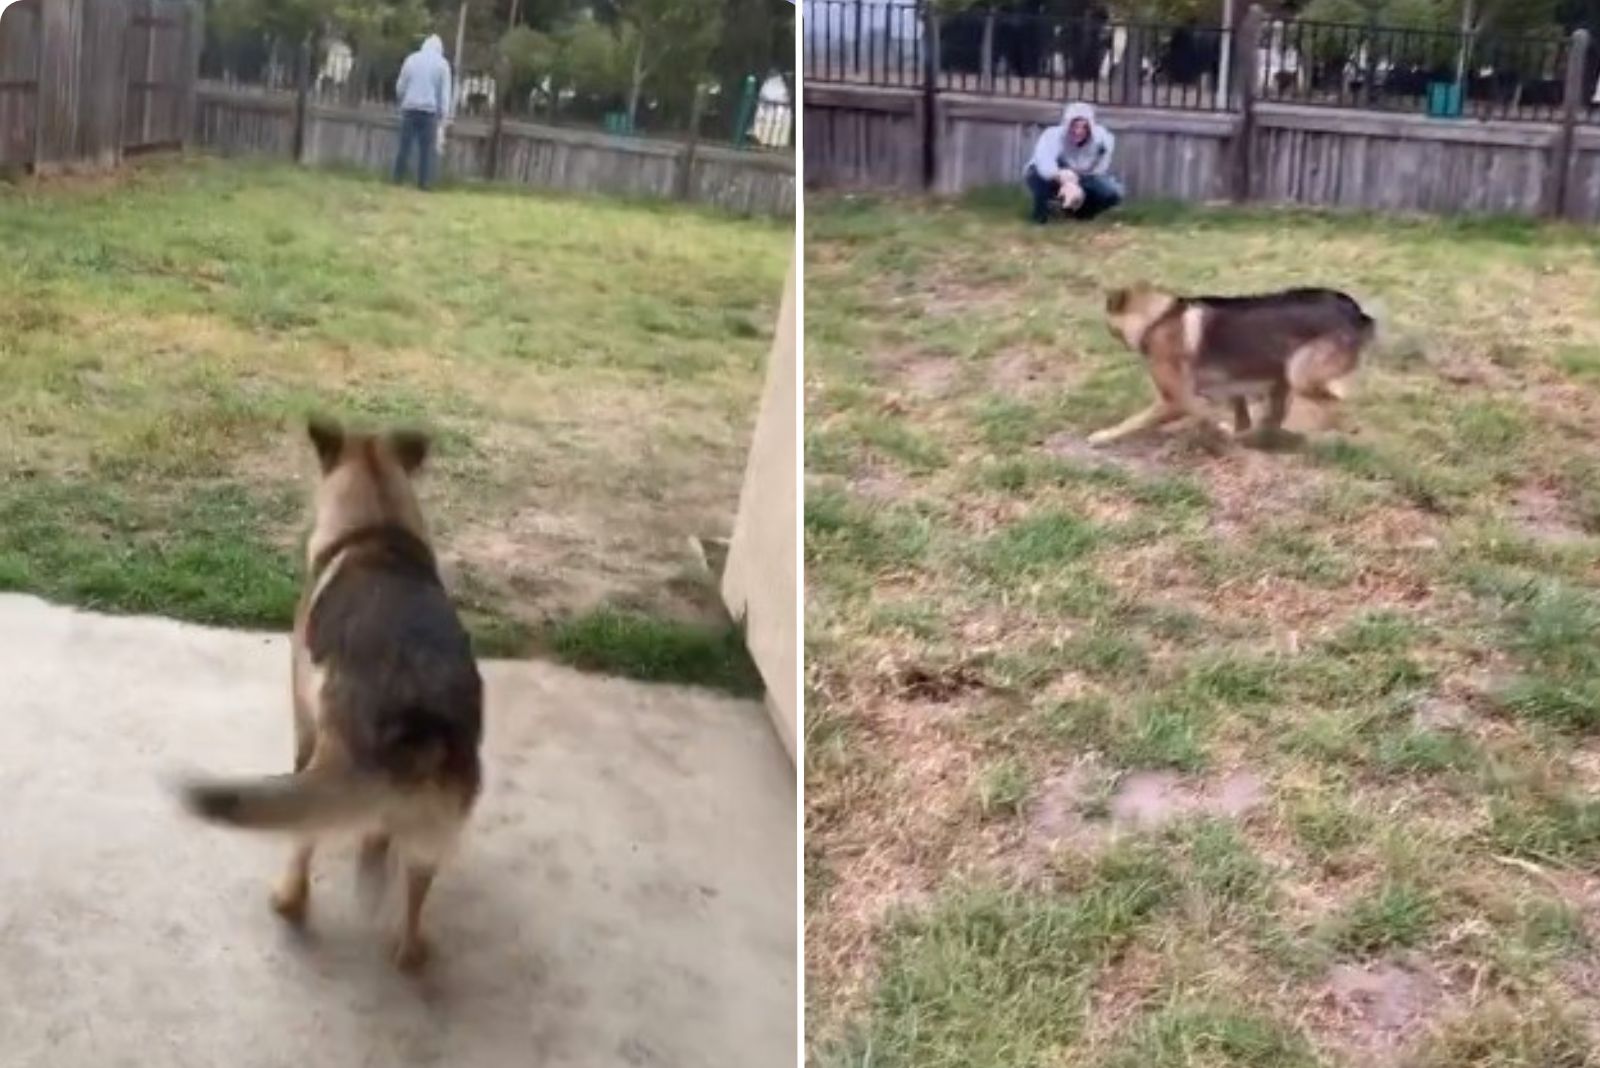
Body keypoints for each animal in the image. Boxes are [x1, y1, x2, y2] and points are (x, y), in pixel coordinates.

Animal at [180, 415, 480, 965]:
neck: (377, 531)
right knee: (415, 890)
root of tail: (420, 715)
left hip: (324, 773)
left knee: (304, 841)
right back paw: (409, 949)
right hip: (434, 818)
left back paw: (288, 900)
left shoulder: (304, 719)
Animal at [1088, 282, 1376, 447]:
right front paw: (1223, 431)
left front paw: (1103, 436)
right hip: (1283, 378)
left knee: (1340, 407)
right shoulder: (1231, 388)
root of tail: (1356, 312)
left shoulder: (1174, 400)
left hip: (1298, 375)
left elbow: (1132, 421)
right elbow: (1237, 417)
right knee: (1275, 421)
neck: (1156, 318)